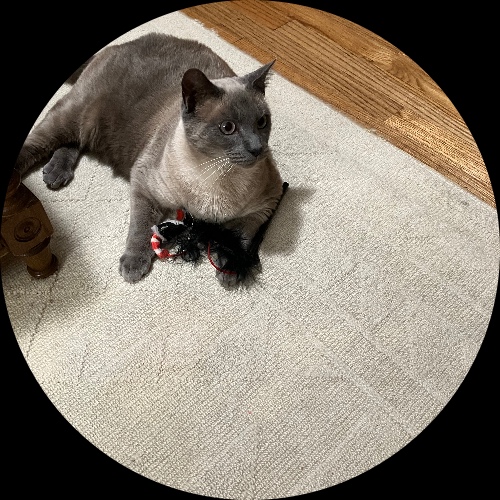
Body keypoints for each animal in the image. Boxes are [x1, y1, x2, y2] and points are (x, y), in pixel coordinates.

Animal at [14, 32, 284, 287]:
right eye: (228, 128)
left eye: (262, 122)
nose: (257, 148)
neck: (217, 175)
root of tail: (123, 44)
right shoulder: (144, 183)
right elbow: (141, 227)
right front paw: (134, 264)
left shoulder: (267, 202)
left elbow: (242, 233)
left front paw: (230, 266)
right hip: (74, 115)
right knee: (43, 140)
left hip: (86, 128)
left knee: (74, 142)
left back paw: (56, 173)